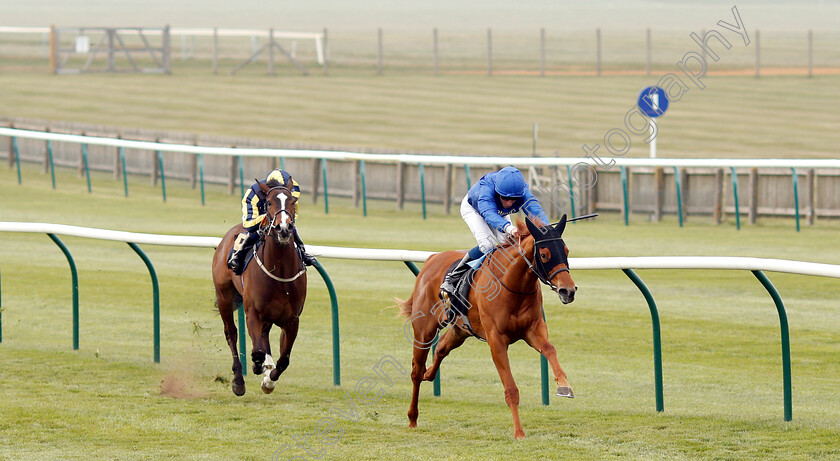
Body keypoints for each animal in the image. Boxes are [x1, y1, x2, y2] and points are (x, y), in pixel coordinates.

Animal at [212, 183, 306, 396]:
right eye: (269, 202)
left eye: (292, 201)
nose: (284, 228)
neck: (279, 271)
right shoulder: (252, 312)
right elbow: (257, 351)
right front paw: (257, 369)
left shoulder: (292, 320)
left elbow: (284, 359)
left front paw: (269, 380)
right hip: (224, 296)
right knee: (231, 333)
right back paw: (239, 379)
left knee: (264, 336)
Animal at [400, 215, 576, 438]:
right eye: (544, 255)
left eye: (566, 251)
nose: (568, 291)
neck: (514, 285)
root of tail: (432, 259)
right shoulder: (496, 340)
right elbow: (511, 389)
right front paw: (519, 432)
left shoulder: (533, 330)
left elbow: (549, 349)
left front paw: (564, 386)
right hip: (424, 330)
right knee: (416, 371)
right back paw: (412, 417)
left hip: (460, 330)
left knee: (440, 349)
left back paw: (429, 373)